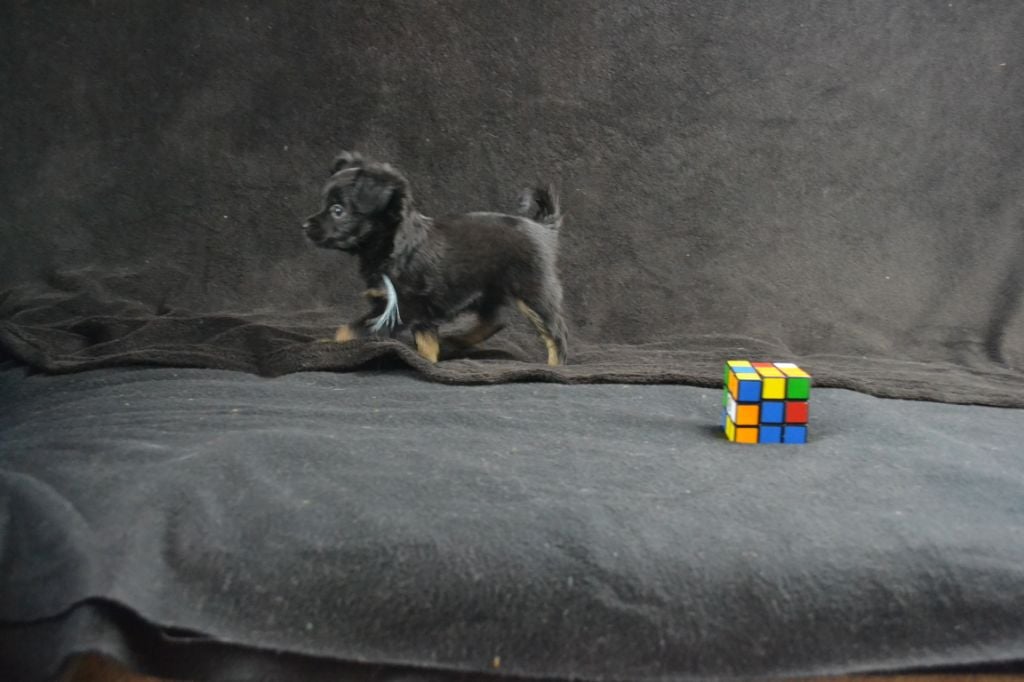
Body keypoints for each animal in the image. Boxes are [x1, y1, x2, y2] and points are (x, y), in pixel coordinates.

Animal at [302, 151, 568, 366]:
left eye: (338, 211)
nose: (305, 225)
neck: (394, 247)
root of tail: (542, 227)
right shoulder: (420, 315)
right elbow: (427, 346)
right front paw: (427, 361)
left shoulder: (400, 309)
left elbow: (348, 331)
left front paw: (326, 347)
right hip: (488, 291)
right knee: (495, 320)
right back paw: (456, 341)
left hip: (534, 292)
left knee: (556, 333)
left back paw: (555, 367)